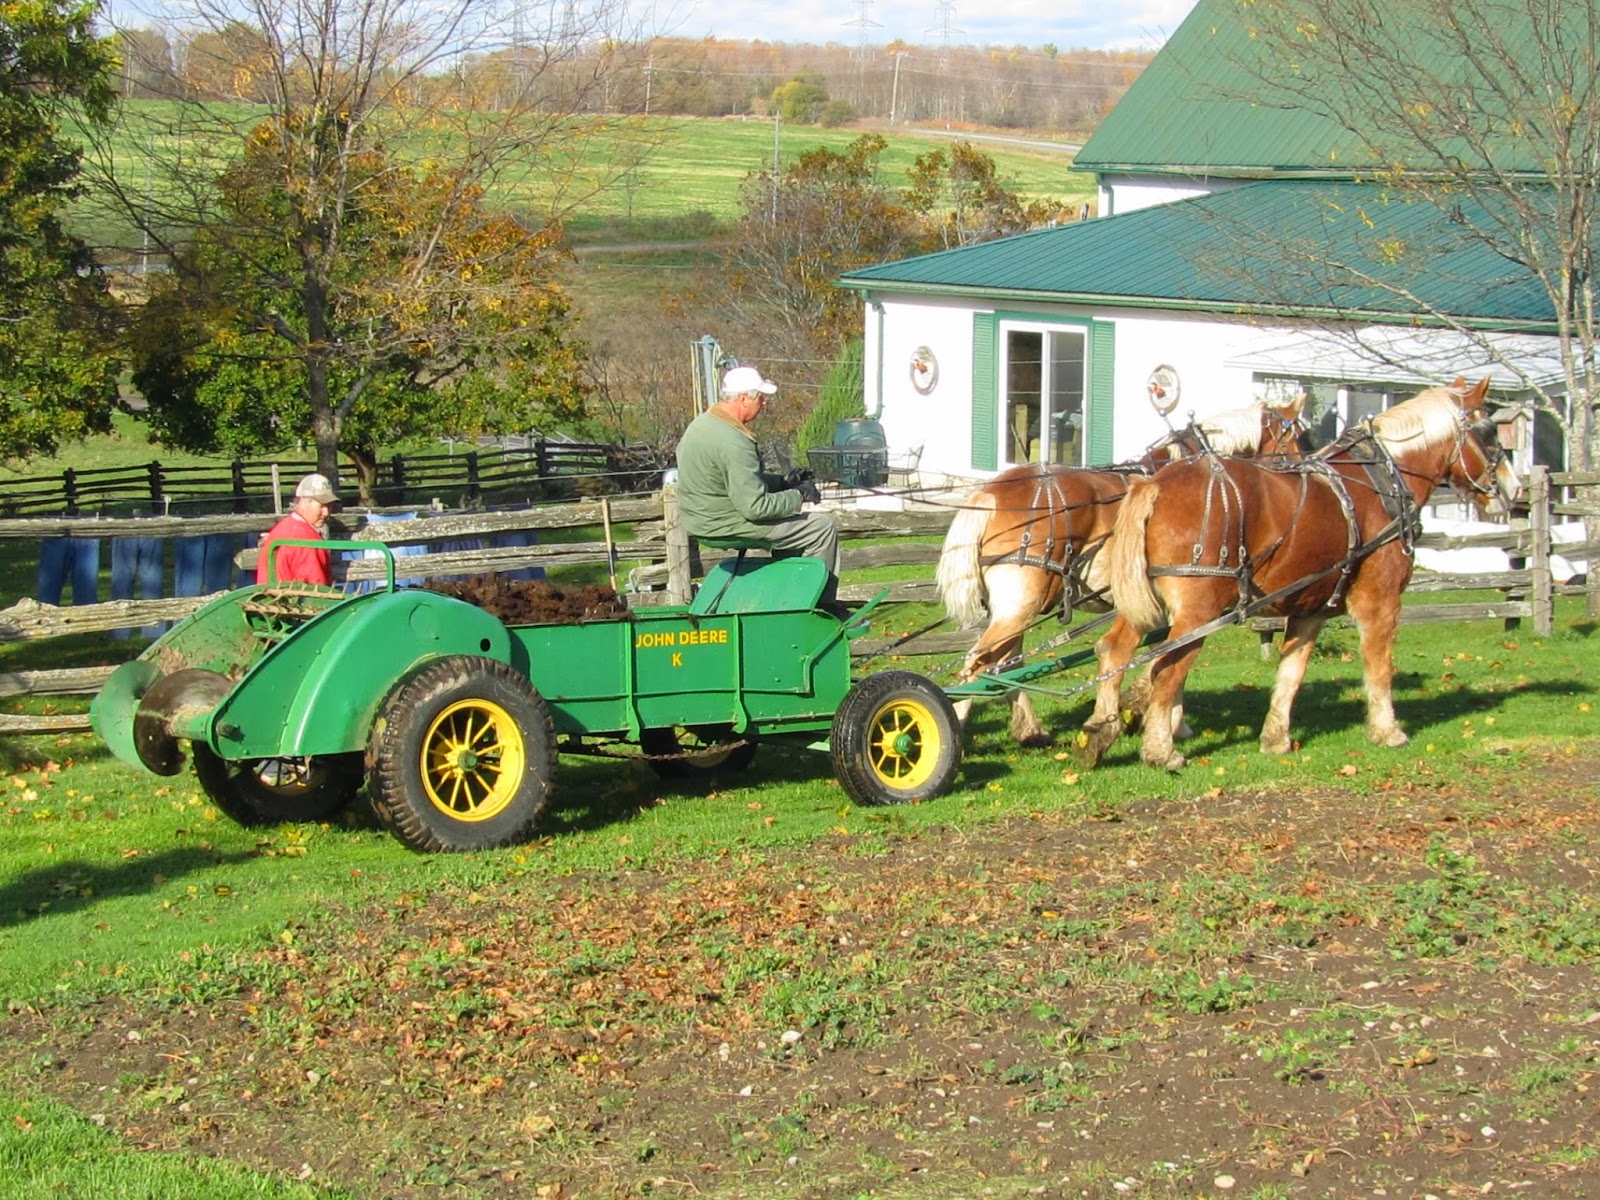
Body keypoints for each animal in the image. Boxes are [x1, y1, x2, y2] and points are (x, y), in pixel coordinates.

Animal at [934, 400, 1312, 748]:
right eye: (1293, 435)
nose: (1299, 470)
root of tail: (990, 494)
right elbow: (1170, 656)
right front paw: (1170, 721)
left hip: (1016, 608)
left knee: (1003, 664)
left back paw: (1030, 729)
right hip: (1021, 605)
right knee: (978, 663)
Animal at [1081, 380, 1516, 774]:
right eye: (1490, 432)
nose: (1511, 489)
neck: (1380, 482)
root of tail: (1154, 484)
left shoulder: (1310, 609)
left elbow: (1291, 672)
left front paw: (1275, 737)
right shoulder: (1381, 601)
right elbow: (1379, 667)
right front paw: (1387, 730)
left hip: (1147, 602)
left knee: (1115, 650)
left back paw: (1102, 730)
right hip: (1198, 608)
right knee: (1167, 667)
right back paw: (1160, 750)